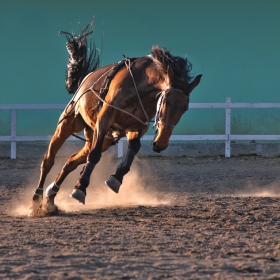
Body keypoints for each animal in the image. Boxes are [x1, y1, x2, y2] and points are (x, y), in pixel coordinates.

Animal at [30, 24, 201, 217]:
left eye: (185, 108)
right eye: (166, 102)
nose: (161, 144)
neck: (139, 85)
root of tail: (83, 81)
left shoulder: (136, 127)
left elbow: (133, 149)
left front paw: (116, 179)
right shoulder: (104, 119)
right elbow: (95, 155)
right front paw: (80, 189)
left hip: (100, 139)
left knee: (71, 162)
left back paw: (50, 199)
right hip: (68, 124)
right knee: (49, 160)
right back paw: (37, 200)